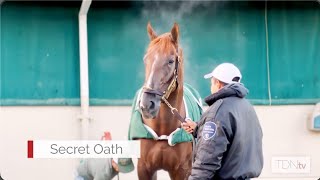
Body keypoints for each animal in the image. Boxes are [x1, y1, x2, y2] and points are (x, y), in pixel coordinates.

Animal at [138, 22, 192, 180]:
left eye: (170, 61)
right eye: (146, 59)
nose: (147, 104)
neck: (163, 127)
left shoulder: (182, 171)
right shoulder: (144, 168)